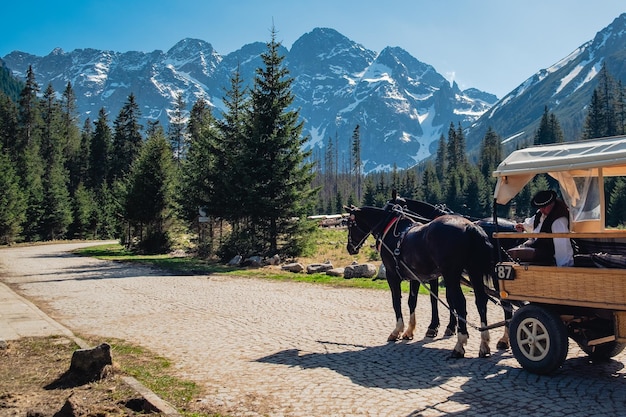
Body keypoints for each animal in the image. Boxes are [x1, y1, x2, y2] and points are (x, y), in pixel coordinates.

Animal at [344, 203, 494, 356]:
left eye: (350, 224)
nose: (350, 248)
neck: (390, 230)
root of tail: (469, 226)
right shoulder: (415, 277)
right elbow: (412, 301)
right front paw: (409, 331)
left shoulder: (392, 275)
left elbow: (396, 301)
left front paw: (397, 330)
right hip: (474, 272)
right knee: (481, 301)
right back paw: (484, 343)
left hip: (451, 275)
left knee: (460, 303)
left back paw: (460, 344)